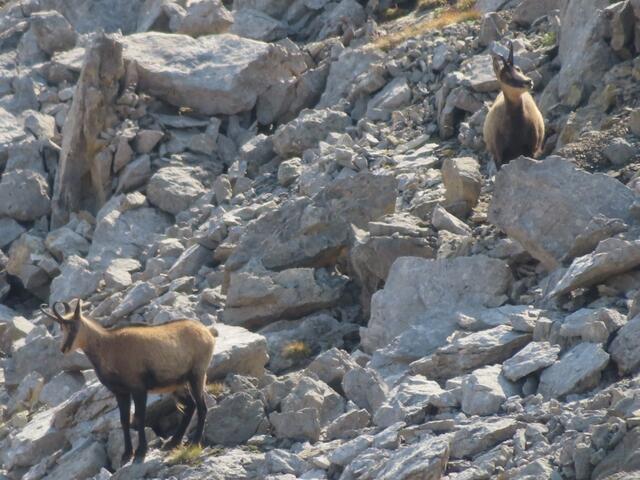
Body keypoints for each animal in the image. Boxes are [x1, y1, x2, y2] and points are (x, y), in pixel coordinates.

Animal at [40, 299, 216, 464]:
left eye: (73, 327)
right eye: (61, 328)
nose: (63, 349)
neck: (108, 346)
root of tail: (206, 332)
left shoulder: (138, 388)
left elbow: (139, 417)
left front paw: (140, 451)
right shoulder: (120, 392)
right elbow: (124, 420)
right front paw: (126, 454)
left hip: (196, 375)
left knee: (202, 407)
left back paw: (194, 443)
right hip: (178, 384)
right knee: (190, 406)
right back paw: (173, 442)